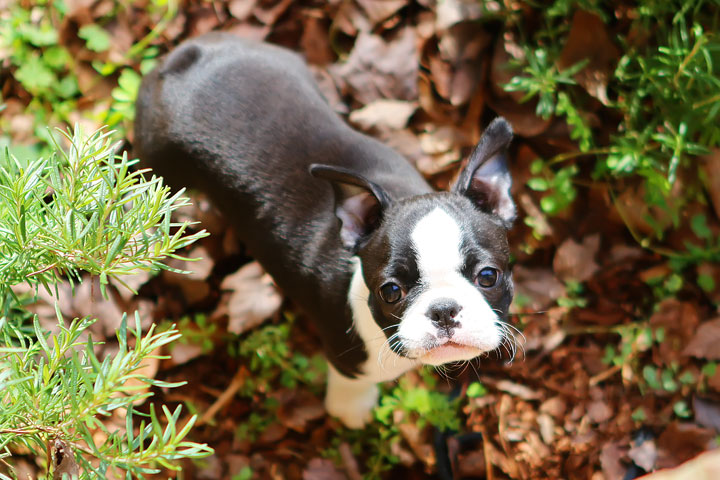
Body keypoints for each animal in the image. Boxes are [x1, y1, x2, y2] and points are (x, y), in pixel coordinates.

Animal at [135, 31, 516, 430]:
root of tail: (184, 58)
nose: (443, 310)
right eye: (391, 292)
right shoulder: (347, 359)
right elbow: (351, 386)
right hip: (161, 167)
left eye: (488, 276)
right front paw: (353, 411)